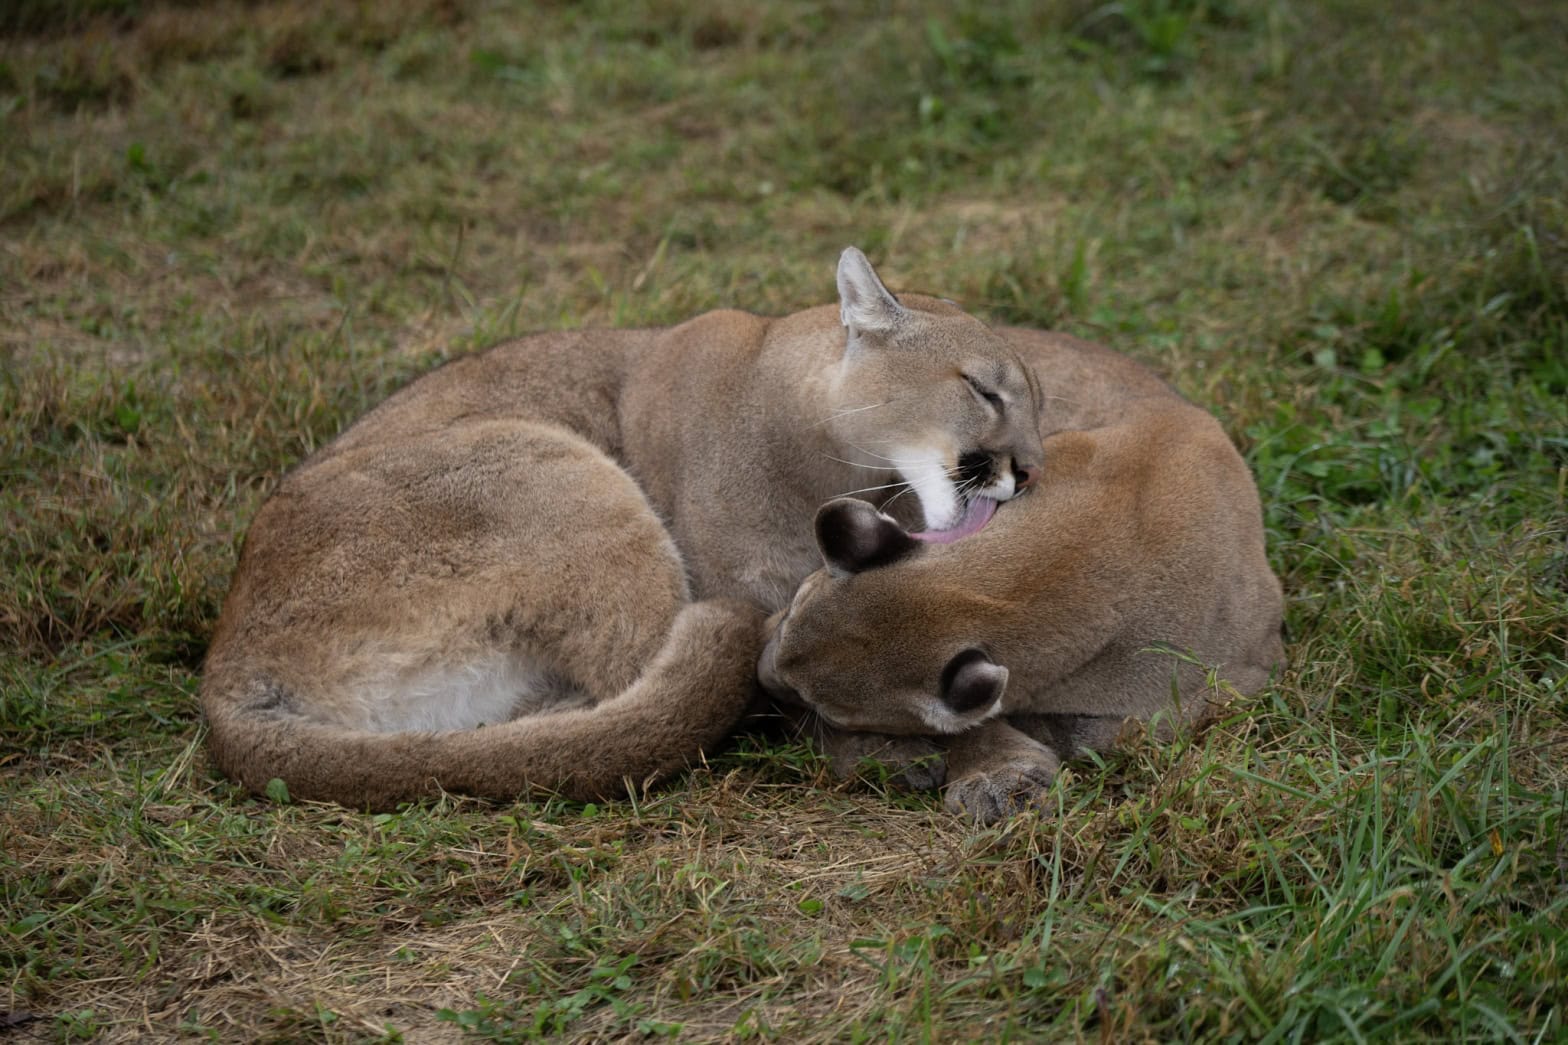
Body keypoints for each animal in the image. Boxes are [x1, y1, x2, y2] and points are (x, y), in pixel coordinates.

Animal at [202, 251, 1047, 803]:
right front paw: (930, 752)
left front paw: (991, 762)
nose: (1032, 471)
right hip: (553, 471)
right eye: (984, 391)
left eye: (1038, 406)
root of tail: (226, 670)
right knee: (651, 686)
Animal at [758, 329, 1285, 815]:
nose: (763, 677)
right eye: (791, 613)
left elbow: (1101, 730)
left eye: (825, 705)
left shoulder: (1234, 679)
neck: (1067, 560)